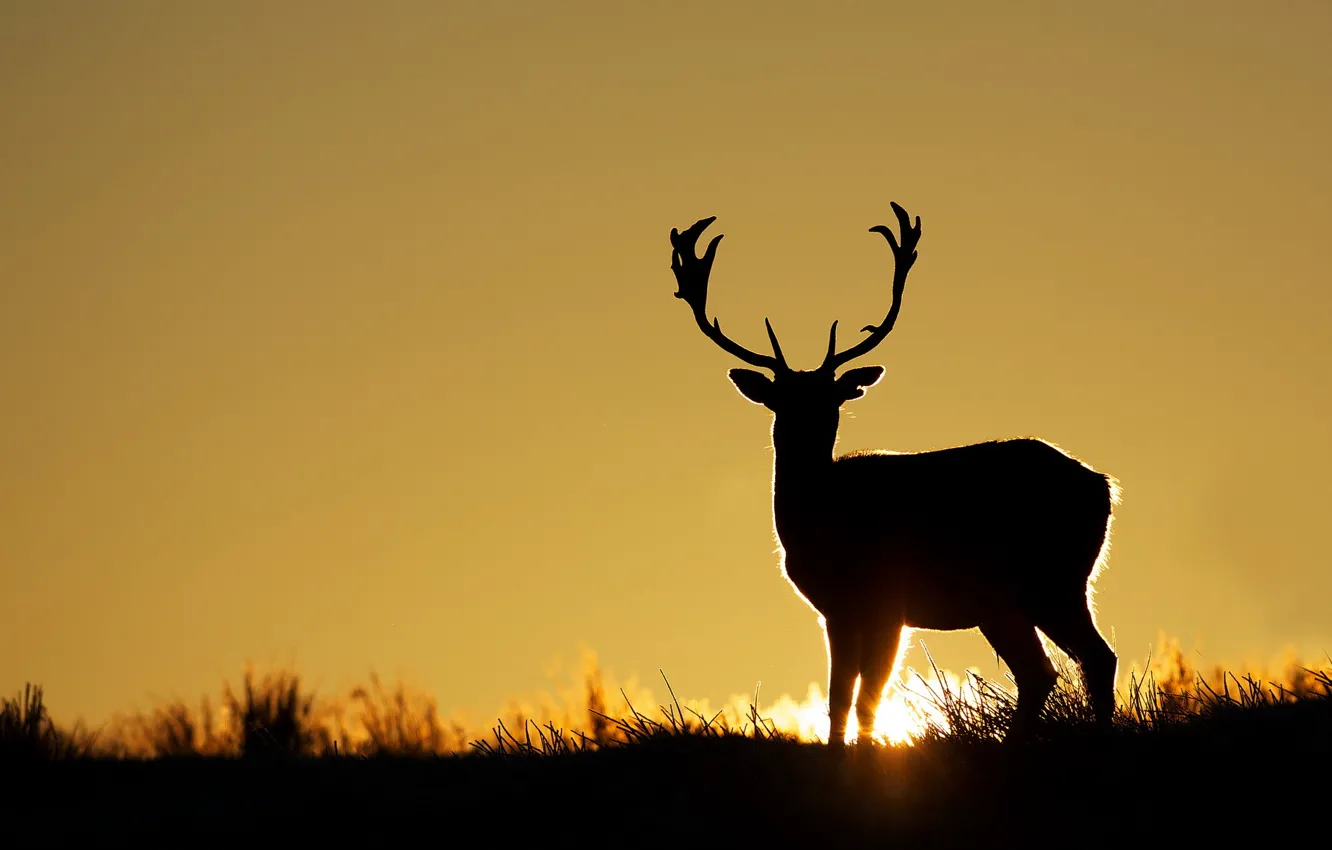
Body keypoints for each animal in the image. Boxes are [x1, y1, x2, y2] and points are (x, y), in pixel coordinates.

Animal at [671, 205, 1118, 746]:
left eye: (833, 398)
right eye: (782, 399)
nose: (809, 429)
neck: (819, 523)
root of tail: (1104, 486)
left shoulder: (888, 602)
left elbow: (869, 697)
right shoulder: (837, 611)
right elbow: (839, 697)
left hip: (1054, 578)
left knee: (1096, 657)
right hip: (1005, 600)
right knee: (1041, 671)